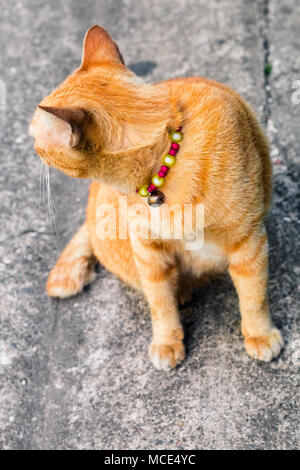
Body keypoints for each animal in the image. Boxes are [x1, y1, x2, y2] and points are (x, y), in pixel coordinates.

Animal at [28, 25, 284, 370]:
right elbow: (160, 303)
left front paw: (259, 334)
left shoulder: (248, 242)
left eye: (36, 136)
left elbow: (254, 295)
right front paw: (167, 341)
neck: (162, 166)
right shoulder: (148, 252)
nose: (29, 142)